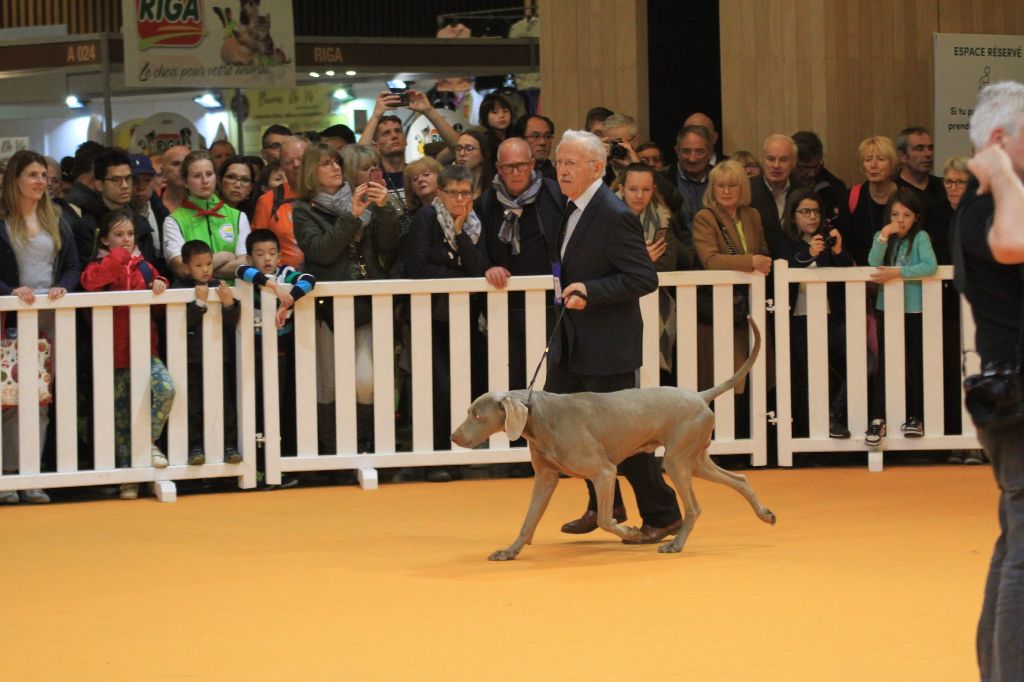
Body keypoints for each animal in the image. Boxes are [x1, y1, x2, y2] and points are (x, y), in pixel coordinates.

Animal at [452, 315, 770, 557]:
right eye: (470, 412)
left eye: (477, 415)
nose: (454, 437)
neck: (541, 416)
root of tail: (700, 395)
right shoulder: (545, 478)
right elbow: (528, 521)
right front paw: (510, 551)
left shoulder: (605, 472)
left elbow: (606, 519)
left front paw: (631, 531)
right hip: (695, 458)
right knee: (739, 479)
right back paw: (765, 513)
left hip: (677, 460)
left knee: (693, 507)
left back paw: (675, 544)